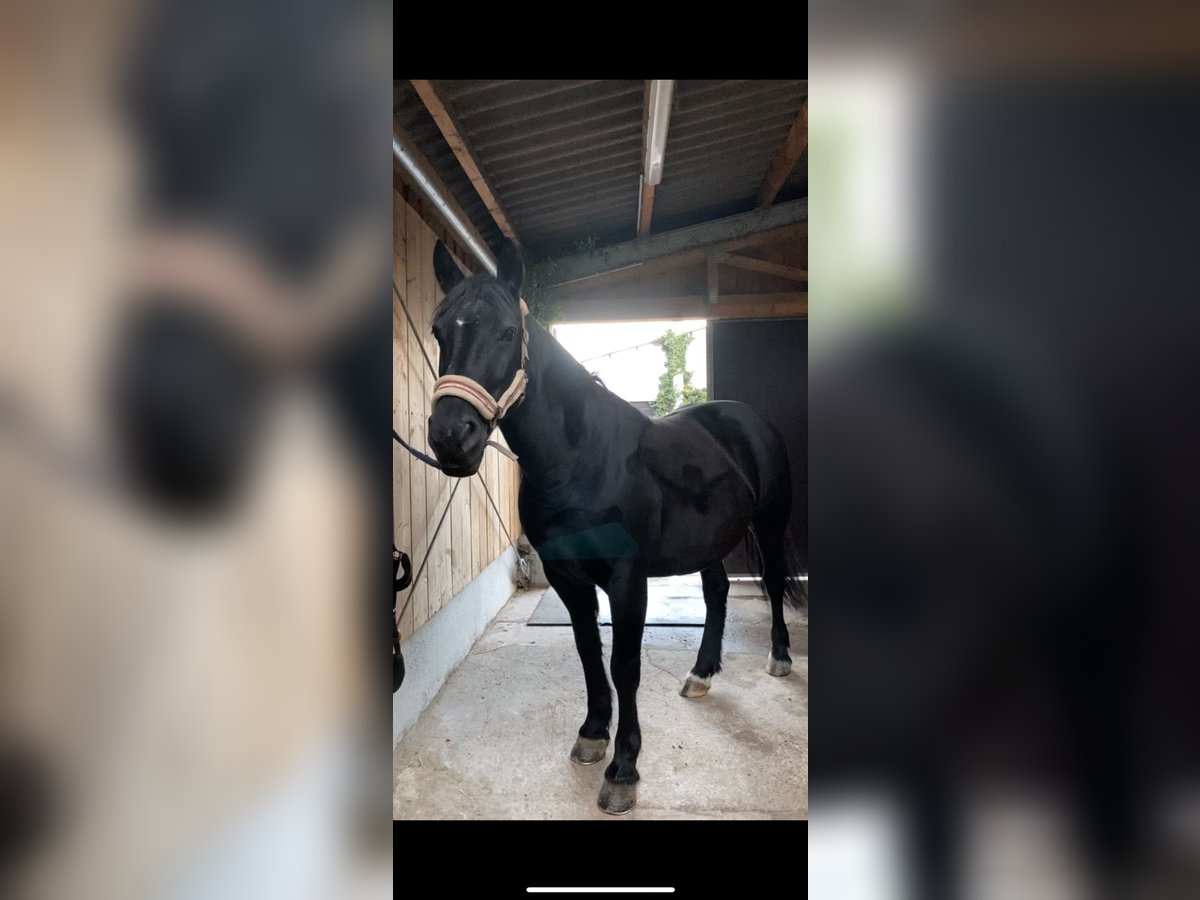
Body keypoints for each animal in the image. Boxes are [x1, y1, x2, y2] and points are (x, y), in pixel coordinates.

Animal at [424, 237, 806, 815]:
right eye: (439, 331)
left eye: (507, 332)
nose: (452, 438)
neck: (580, 459)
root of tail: (747, 419)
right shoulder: (568, 577)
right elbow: (589, 653)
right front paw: (592, 734)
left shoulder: (628, 580)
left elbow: (626, 664)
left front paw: (624, 768)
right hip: (711, 540)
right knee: (717, 592)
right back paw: (700, 674)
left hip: (768, 522)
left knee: (773, 581)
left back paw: (779, 658)